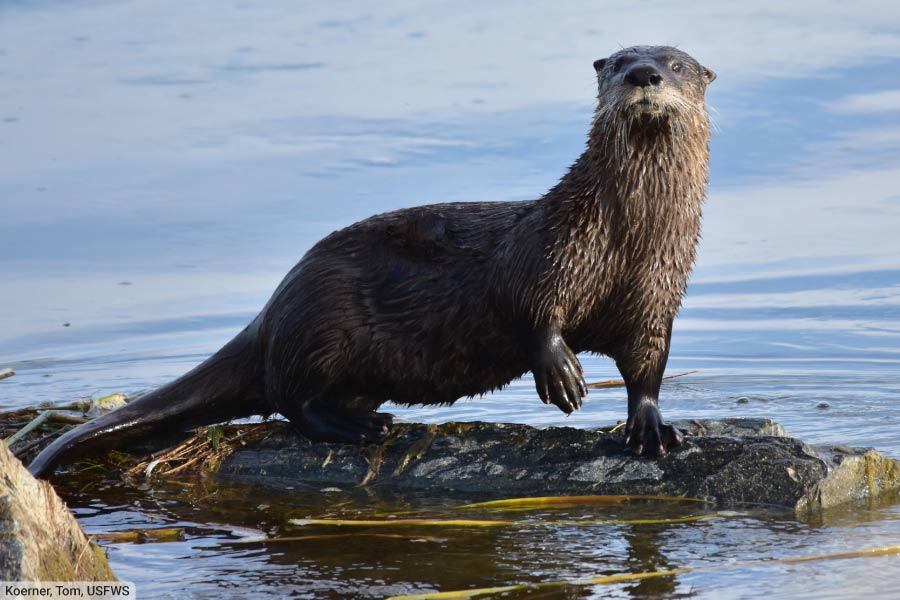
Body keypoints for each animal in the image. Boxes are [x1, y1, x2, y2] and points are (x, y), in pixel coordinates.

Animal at [29, 45, 716, 477]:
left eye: (676, 63)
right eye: (619, 62)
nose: (644, 75)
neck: (628, 239)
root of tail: (272, 310)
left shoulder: (657, 292)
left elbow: (647, 364)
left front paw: (652, 428)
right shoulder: (552, 248)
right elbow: (529, 306)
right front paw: (562, 373)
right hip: (324, 322)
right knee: (292, 399)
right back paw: (359, 428)